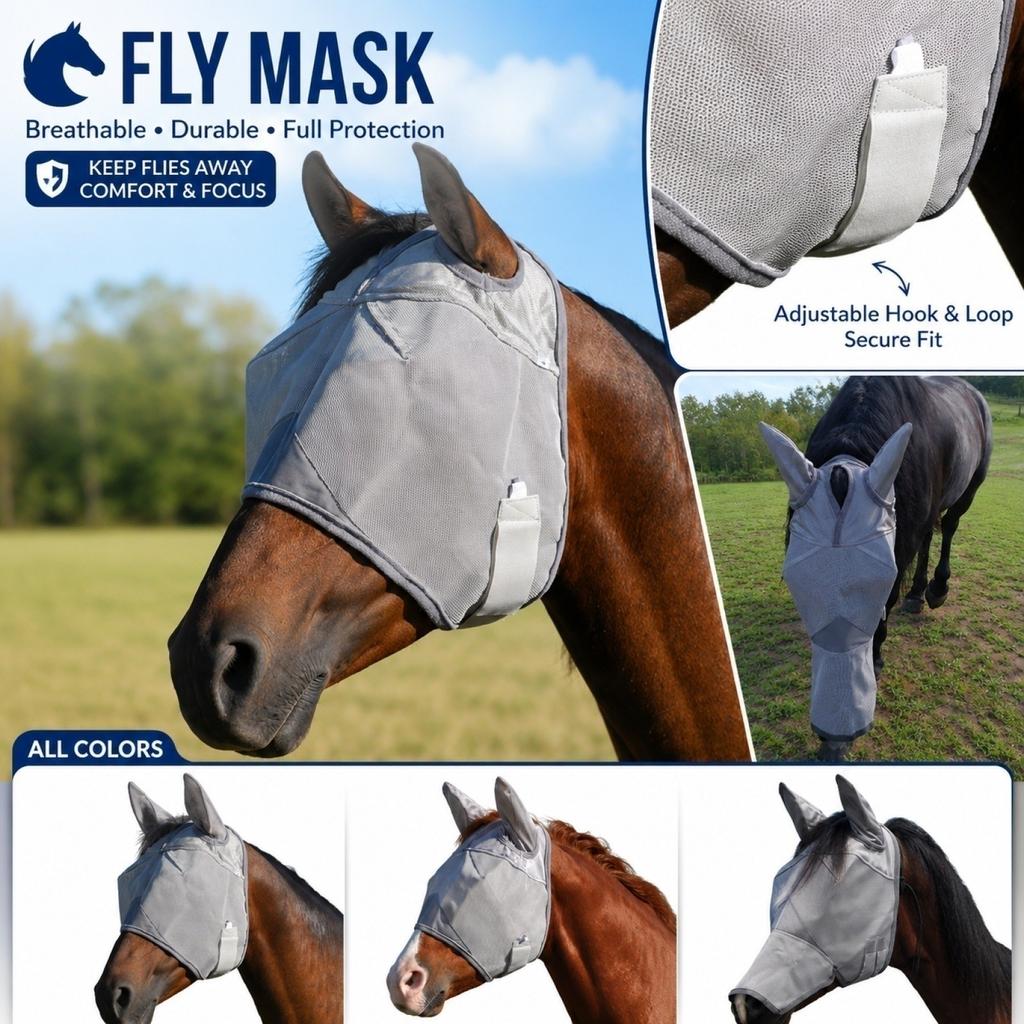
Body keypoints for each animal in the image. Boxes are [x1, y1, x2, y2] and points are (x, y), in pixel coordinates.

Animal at [761, 376, 991, 760]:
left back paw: (936, 589)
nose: (833, 736)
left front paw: (876, 659)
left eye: (879, 581)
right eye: (795, 580)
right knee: (930, 533)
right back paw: (917, 594)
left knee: (949, 526)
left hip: (969, 490)